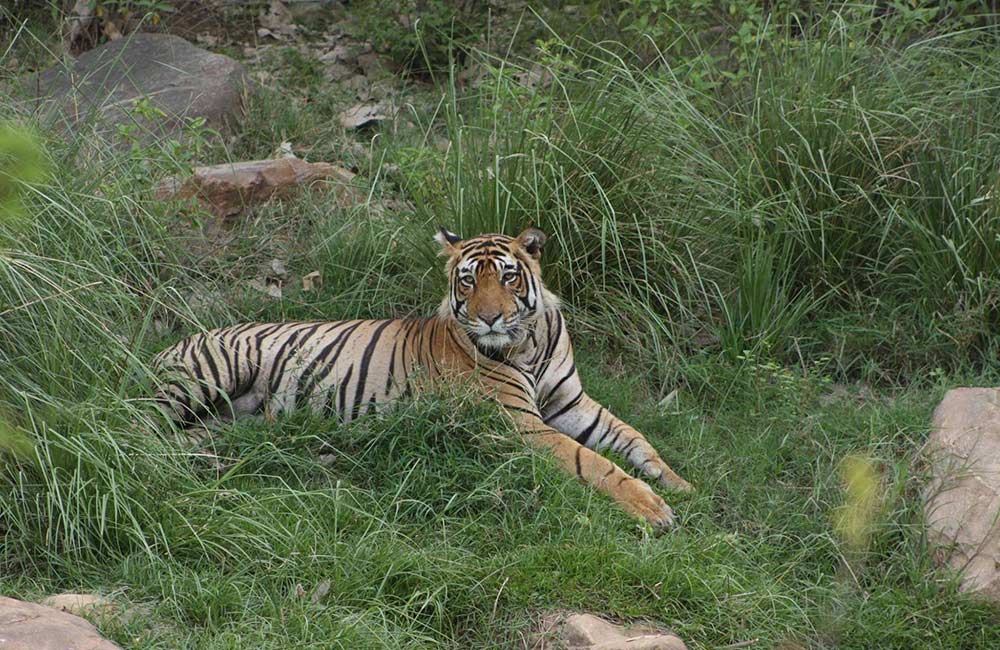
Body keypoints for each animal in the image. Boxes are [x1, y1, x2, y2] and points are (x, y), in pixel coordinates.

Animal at [152, 228, 692, 528]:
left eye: (509, 276)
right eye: (469, 280)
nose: (491, 318)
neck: (529, 341)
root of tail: (170, 344)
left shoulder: (571, 403)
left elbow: (630, 436)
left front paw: (678, 483)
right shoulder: (520, 423)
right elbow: (591, 461)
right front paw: (653, 509)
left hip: (226, 418)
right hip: (212, 373)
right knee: (142, 427)